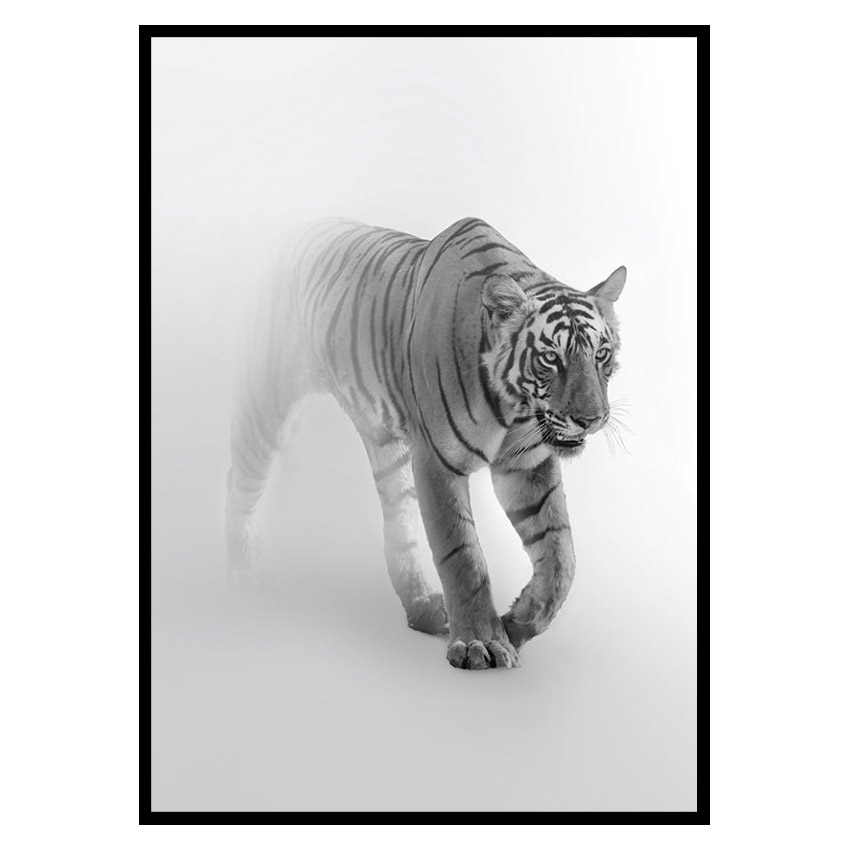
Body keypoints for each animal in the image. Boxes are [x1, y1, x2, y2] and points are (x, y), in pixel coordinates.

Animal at [226, 216, 626, 670]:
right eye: (550, 358)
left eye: (601, 354)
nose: (591, 419)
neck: (513, 408)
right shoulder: (437, 460)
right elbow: (463, 555)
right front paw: (481, 642)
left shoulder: (525, 464)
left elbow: (561, 556)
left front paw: (518, 623)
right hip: (267, 398)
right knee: (240, 480)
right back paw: (241, 572)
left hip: (388, 448)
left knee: (398, 528)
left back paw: (422, 608)